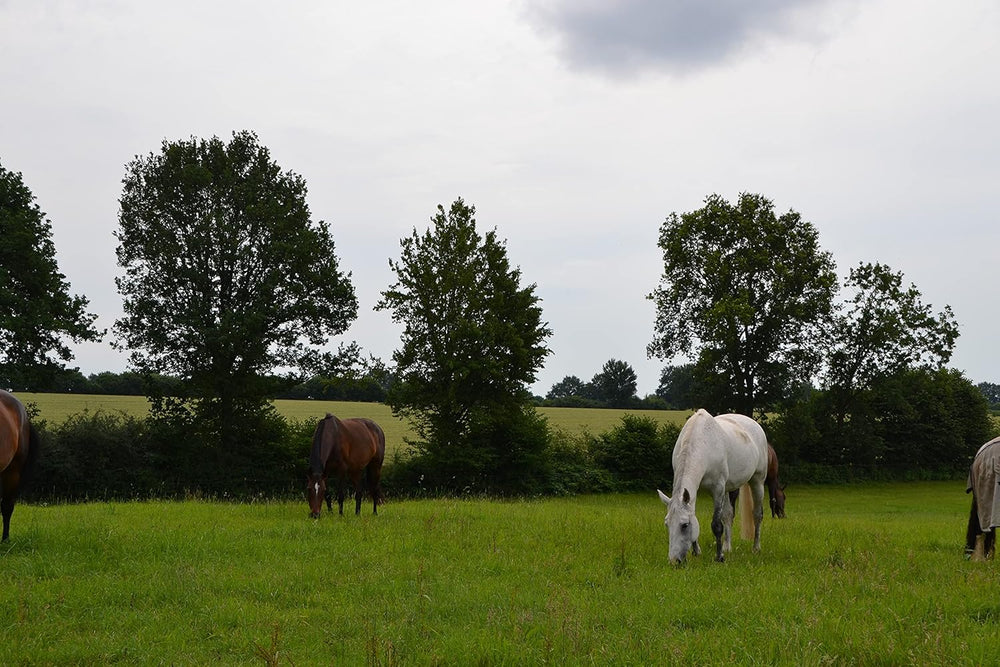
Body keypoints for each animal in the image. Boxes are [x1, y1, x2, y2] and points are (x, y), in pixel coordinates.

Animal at [656, 409, 768, 564]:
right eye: (667, 524)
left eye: (684, 525)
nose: (674, 561)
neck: (702, 443)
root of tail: (754, 424)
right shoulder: (696, 491)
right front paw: (697, 552)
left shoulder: (718, 489)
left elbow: (716, 525)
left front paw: (719, 557)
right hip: (728, 488)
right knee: (728, 515)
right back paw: (728, 547)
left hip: (757, 481)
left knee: (757, 514)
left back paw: (756, 548)